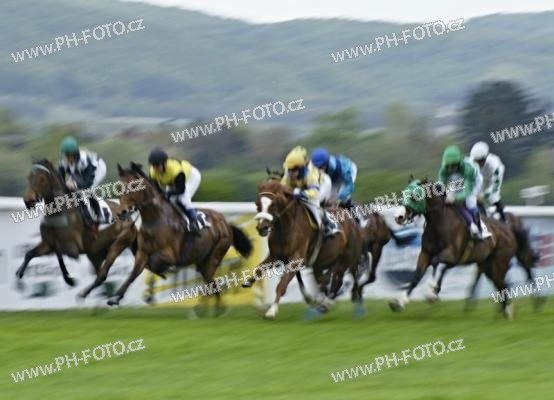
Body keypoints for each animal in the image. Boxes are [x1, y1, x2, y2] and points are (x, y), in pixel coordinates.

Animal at [17, 159, 138, 291]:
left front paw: (69, 279)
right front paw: (19, 274)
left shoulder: (73, 249)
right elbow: (29, 254)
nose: (28, 201)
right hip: (95, 252)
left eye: (42, 178)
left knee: (103, 274)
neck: (59, 213)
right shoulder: (47, 243)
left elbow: (59, 253)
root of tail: (129, 217)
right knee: (100, 275)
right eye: (29, 177)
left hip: (117, 245)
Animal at [104, 162, 252, 314]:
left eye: (134, 186)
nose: (121, 212)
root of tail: (226, 224)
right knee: (210, 281)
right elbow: (134, 274)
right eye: (119, 187)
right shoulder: (143, 253)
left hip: (214, 256)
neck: (155, 219)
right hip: (202, 260)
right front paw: (115, 298)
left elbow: (154, 263)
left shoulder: (172, 255)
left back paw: (206, 309)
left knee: (209, 280)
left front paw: (153, 289)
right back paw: (212, 309)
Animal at [246, 180, 365, 319]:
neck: (286, 228)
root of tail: (349, 216)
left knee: (350, 278)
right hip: (323, 263)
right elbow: (258, 269)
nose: (262, 228)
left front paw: (272, 310)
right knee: (330, 280)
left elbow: (281, 285)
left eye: (273, 204)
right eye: (257, 203)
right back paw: (324, 303)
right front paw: (253, 291)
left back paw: (348, 305)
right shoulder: (275, 256)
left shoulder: (296, 260)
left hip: (350, 258)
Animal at [390, 178, 521, 318]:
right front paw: (400, 302)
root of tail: (509, 230)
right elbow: (416, 276)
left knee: (503, 285)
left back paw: (507, 312)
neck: (439, 224)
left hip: (499, 264)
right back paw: (504, 313)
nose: (398, 217)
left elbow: (436, 262)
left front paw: (431, 292)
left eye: (415, 196)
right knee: (500, 285)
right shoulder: (425, 254)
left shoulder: (452, 255)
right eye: (404, 194)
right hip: (487, 266)